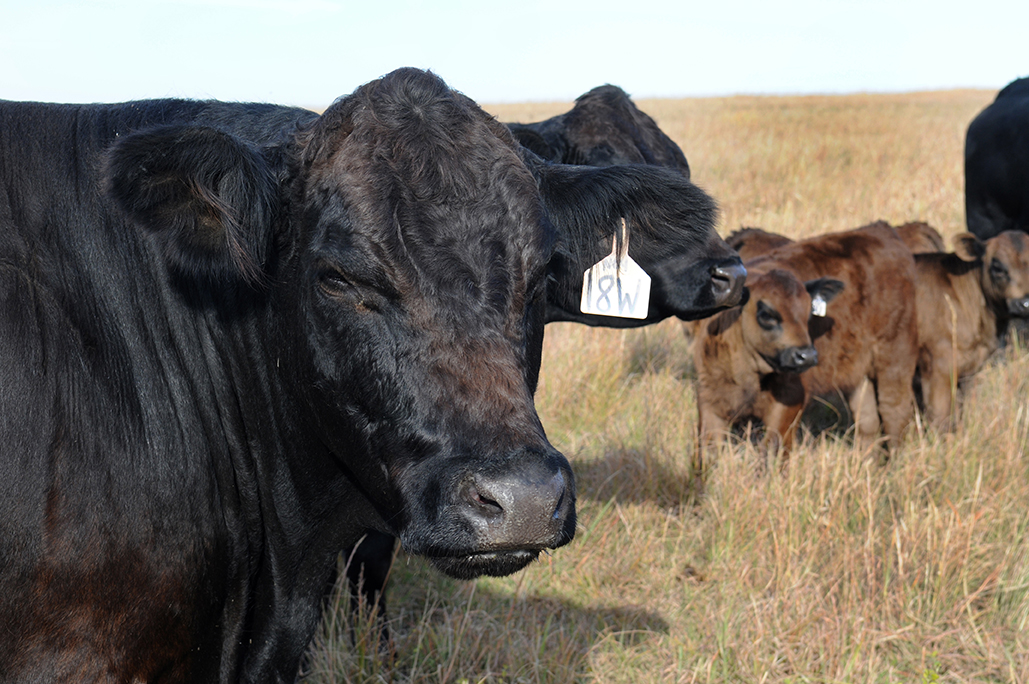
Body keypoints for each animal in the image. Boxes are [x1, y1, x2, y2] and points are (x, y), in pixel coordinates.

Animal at [692, 222, 919, 466]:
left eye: (807, 313)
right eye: (766, 314)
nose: (806, 356)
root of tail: (881, 229)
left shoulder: (789, 402)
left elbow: (773, 450)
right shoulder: (709, 398)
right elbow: (707, 452)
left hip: (895, 360)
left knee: (894, 410)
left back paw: (894, 466)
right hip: (860, 374)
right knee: (867, 420)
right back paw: (868, 465)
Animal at [914, 231, 1029, 429]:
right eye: (997, 266)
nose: (1025, 303)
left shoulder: (969, 371)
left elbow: (960, 412)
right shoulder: (937, 366)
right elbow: (940, 417)